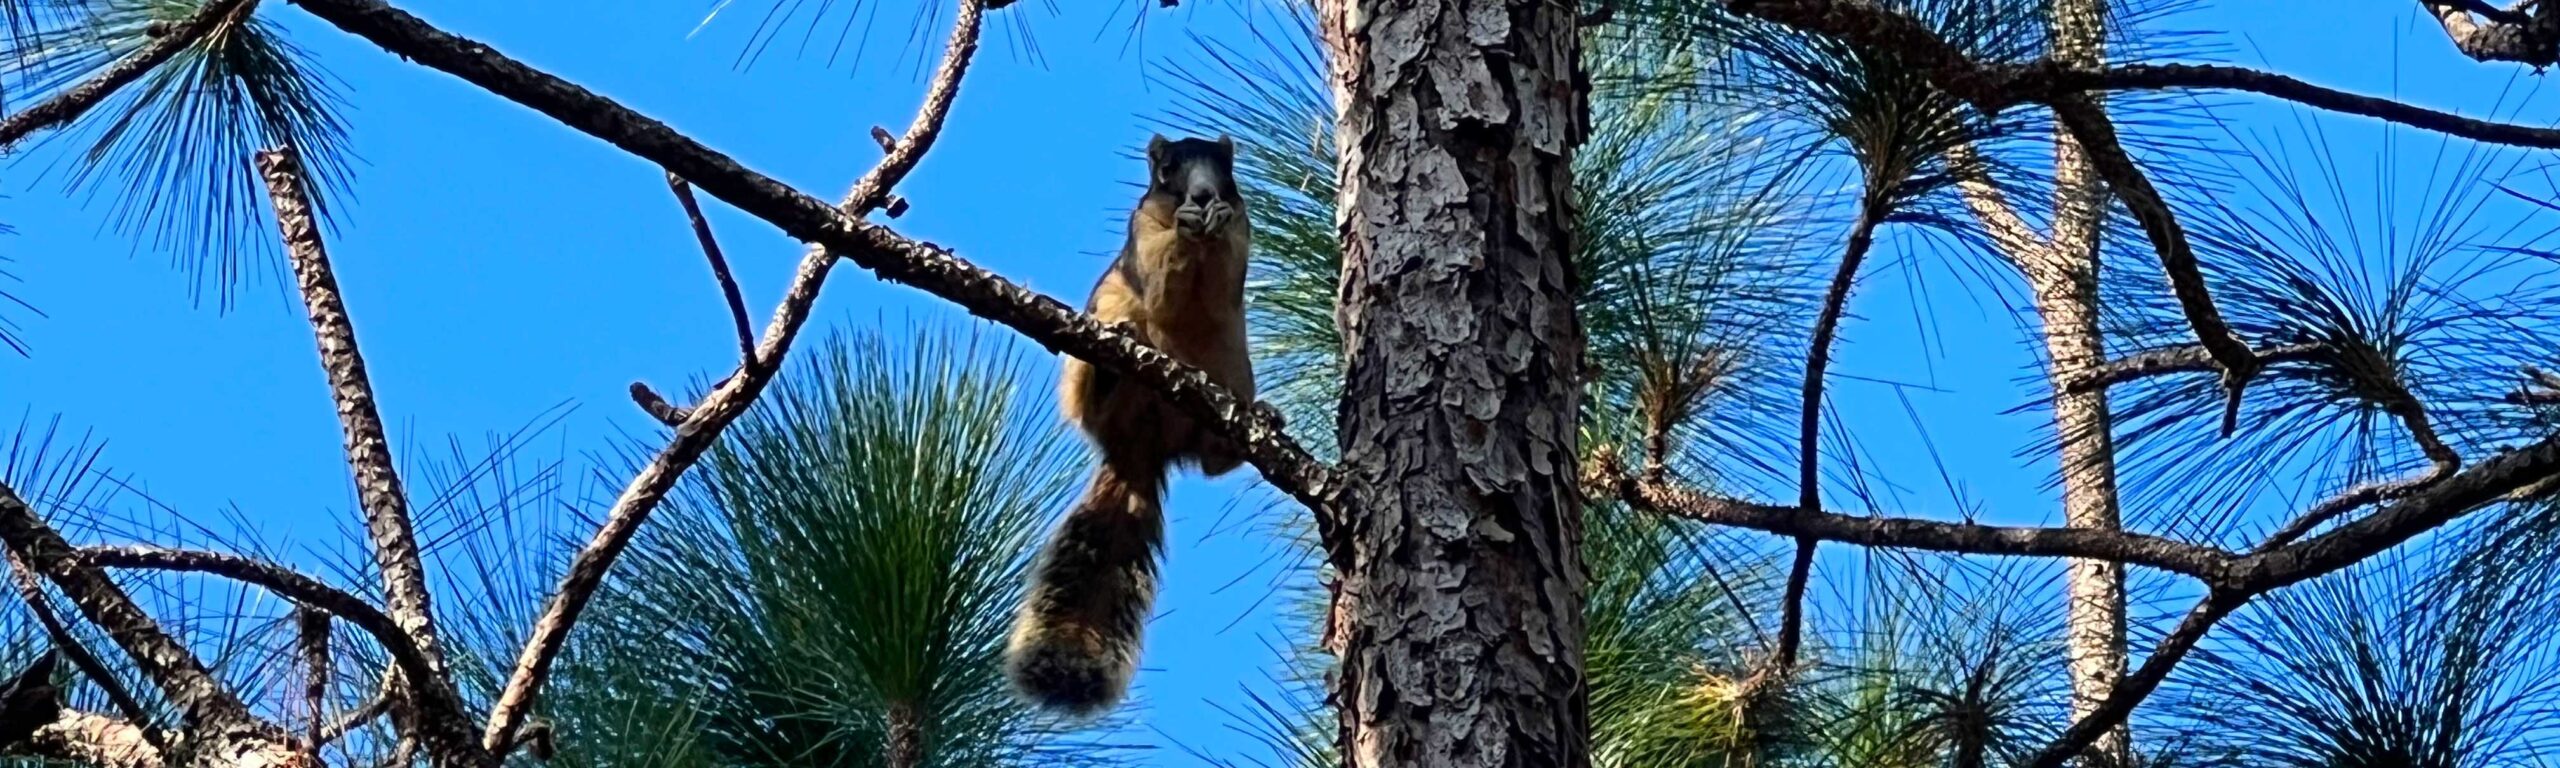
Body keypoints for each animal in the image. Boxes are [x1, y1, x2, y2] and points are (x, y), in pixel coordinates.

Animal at [1003, 135, 1254, 716]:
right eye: (1167, 171)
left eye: (1225, 167)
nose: (1203, 196)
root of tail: (1140, 449)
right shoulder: (1140, 241)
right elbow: (1164, 281)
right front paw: (1186, 227)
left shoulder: (1242, 241)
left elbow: (1225, 280)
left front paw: (1215, 220)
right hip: (1099, 338)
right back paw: (1109, 370)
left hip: (1237, 370)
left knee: (1213, 462)